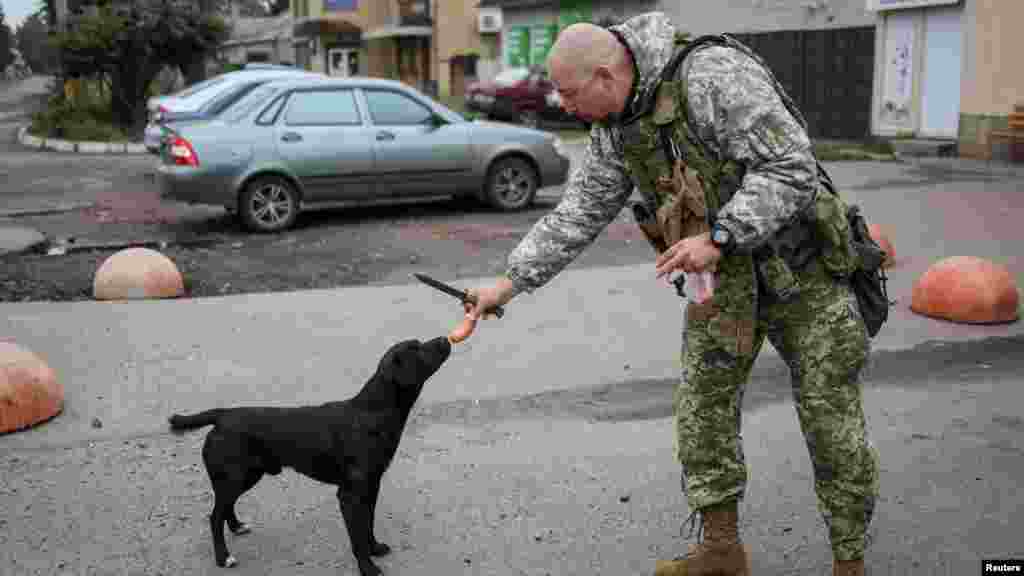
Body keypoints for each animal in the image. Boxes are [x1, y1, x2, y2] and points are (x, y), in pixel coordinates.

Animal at [169, 334, 450, 569]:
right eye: (416, 349)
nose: (444, 339)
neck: (372, 413)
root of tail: (223, 415)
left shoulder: (371, 486)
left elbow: (368, 525)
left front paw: (375, 549)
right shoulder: (350, 495)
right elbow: (357, 537)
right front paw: (368, 568)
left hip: (245, 477)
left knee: (225, 508)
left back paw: (237, 527)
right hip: (234, 478)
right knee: (214, 517)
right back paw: (223, 557)